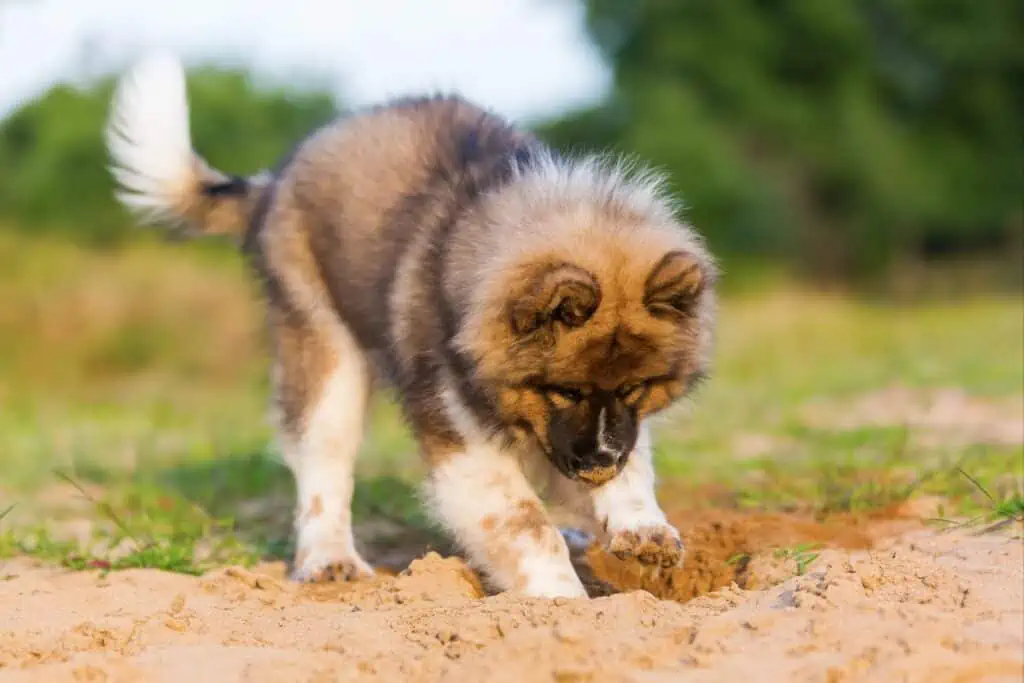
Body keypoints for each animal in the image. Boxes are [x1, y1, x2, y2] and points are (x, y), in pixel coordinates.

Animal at [101, 53, 712, 598]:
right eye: (564, 390)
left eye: (637, 387)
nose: (600, 463)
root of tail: (273, 183)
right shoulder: (463, 435)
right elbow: (523, 523)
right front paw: (561, 602)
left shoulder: (588, 432)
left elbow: (633, 464)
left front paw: (642, 526)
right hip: (325, 355)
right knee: (324, 466)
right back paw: (330, 560)